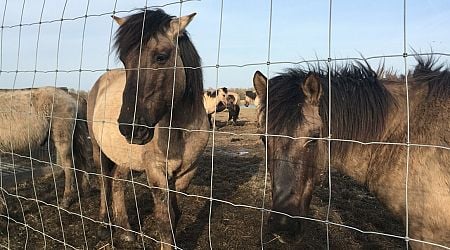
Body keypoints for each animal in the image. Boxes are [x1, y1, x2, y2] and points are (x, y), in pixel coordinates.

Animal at [87, 8, 209, 249]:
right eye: (125, 60)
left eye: (161, 56)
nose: (131, 128)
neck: (179, 131)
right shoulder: (155, 171)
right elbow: (164, 221)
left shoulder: (187, 172)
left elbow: (175, 214)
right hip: (99, 149)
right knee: (105, 181)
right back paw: (104, 226)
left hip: (124, 157)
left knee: (117, 182)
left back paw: (126, 231)